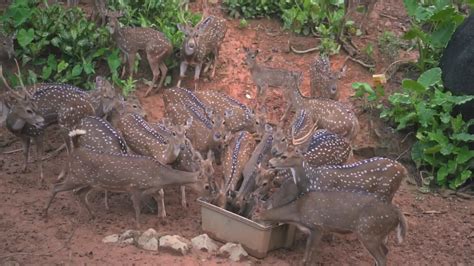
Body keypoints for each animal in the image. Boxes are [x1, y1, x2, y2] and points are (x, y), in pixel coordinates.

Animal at [44, 130, 211, 228]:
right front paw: (138, 226)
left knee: (80, 193)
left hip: (91, 183)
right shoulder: (134, 186)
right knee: (56, 187)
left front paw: (161, 219)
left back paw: (93, 215)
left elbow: (157, 198)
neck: (158, 176)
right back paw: (45, 213)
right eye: (208, 186)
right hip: (76, 176)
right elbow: (137, 208)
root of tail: (76, 149)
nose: (212, 196)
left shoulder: (150, 189)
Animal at [254, 189, 406, 266]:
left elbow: (311, 250)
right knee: (386, 250)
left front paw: (305, 263)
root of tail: (397, 213)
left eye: (254, 215)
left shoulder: (318, 227)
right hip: (379, 234)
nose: (254, 219)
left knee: (382, 258)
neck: (298, 213)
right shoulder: (313, 231)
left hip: (368, 232)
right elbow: (310, 249)